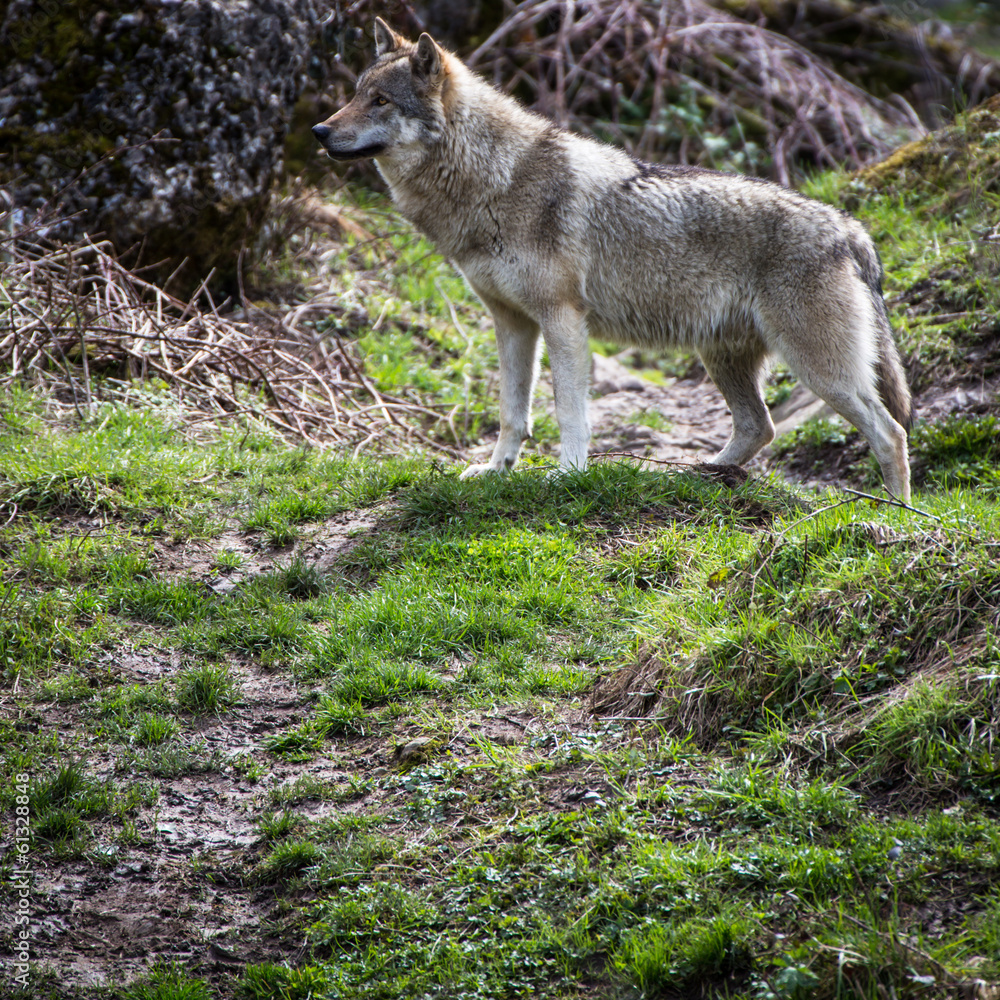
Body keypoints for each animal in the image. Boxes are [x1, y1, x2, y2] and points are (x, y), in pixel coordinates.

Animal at [313, 19, 913, 501]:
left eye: (381, 101)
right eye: (355, 94)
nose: (319, 131)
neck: (492, 181)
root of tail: (851, 229)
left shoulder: (562, 319)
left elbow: (569, 412)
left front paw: (568, 475)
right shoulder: (511, 324)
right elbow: (512, 412)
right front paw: (496, 471)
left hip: (817, 370)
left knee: (891, 432)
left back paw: (899, 515)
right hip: (724, 356)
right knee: (758, 427)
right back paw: (700, 473)